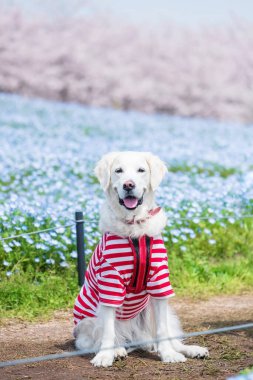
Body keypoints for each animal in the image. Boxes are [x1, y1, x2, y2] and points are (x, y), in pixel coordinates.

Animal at [72, 153, 209, 366]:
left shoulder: (159, 281)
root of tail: (135, 338)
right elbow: (108, 332)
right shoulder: (111, 283)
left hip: (156, 314)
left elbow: (162, 331)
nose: (128, 185)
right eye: (118, 171)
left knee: (167, 337)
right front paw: (105, 357)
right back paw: (117, 350)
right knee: (103, 338)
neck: (134, 226)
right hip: (89, 321)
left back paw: (191, 350)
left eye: (141, 170)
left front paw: (168, 354)